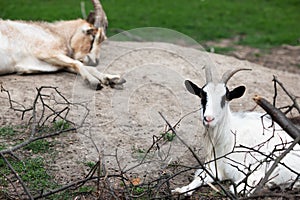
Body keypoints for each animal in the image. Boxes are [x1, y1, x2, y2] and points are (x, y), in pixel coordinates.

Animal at [173, 67, 300, 195]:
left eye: (225, 98)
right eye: (203, 96)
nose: (208, 118)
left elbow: (238, 187)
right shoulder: (214, 168)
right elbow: (199, 178)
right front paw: (182, 190)